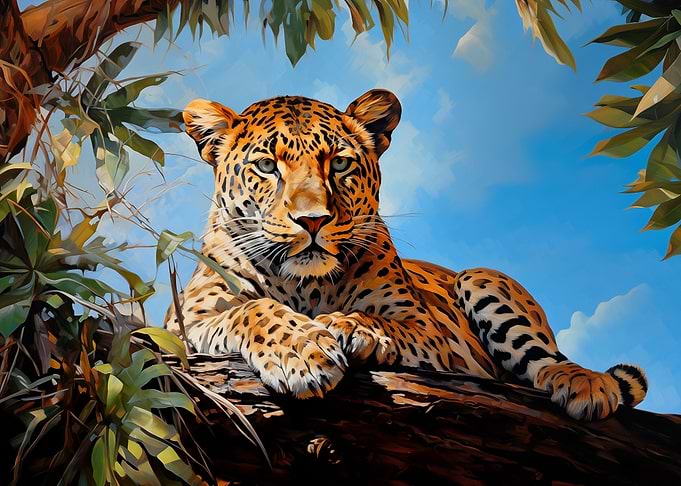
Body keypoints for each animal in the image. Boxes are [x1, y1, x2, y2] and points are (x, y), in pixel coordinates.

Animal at [165, 89, 647, 421]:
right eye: (267, 167)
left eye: (339, 164)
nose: (313, 220)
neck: (305, 287)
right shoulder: (184, 321)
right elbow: (252, 310)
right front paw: (302, 351)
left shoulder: (427, 328)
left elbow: (385, 322)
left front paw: (351, 327)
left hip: (482, 277)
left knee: (546, 359)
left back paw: (584, 384)